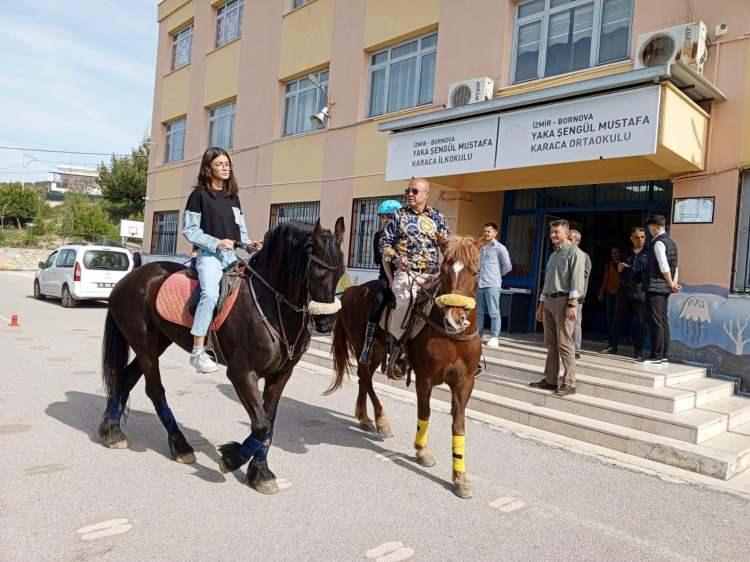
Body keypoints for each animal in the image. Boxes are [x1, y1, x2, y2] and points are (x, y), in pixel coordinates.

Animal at [98, 217, 348, 492]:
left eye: (340, 271)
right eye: (316, 270)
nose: (326, 323)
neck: (271, 306)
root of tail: (127, 280)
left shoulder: (280, 375)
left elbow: (268, 424)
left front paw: (260, 473)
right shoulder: (242, 373)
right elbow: (261, 425)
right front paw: (231, 458)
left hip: (156, 343)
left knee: (125, 379)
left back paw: (112, 432)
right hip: (144, 346)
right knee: (154, 391)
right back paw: (179, 445)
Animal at [328, 234, 482, 496]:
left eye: (475, 271)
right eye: (444, 269)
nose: (454, 319)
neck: (451, 337)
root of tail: (349, 291)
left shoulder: (464, 383)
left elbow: (459, 425)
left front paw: (460, 478)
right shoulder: (425, 378)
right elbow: (424, 412)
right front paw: (422, 451)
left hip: (375, 352)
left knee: (363, 377)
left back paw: (365, 418)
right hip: (366, 347)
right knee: (365, 377)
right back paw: (381, 421)